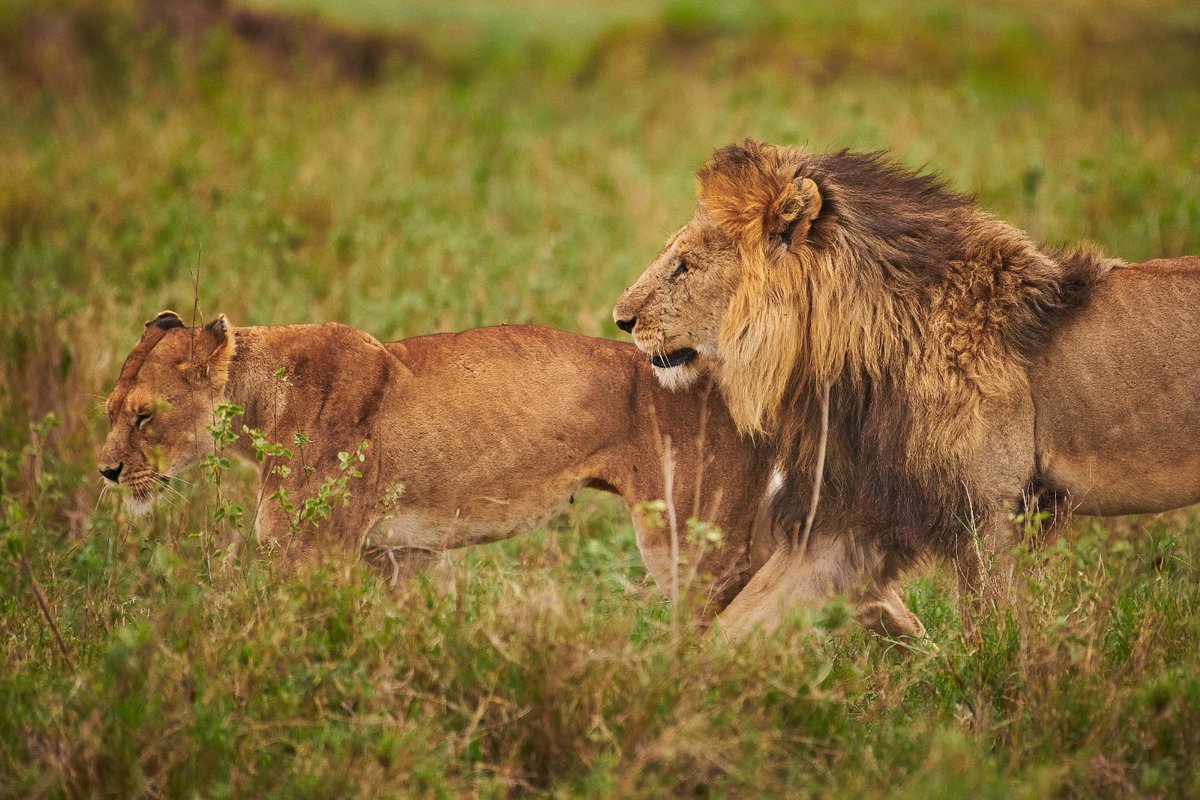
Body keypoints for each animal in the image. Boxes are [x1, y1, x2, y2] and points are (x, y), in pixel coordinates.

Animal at [103, 309, 907, 623]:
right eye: (108, 409)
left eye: (143, 415)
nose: (107, 473)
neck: (259, 400)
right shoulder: (401, 554)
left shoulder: (314, 554)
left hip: (696, 545)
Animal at [614, 139, 1195, 638]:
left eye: (683, 267)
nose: (621, 319)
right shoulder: (856, 513)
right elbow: (740, 625)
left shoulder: (996, 510)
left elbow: (997, 633)